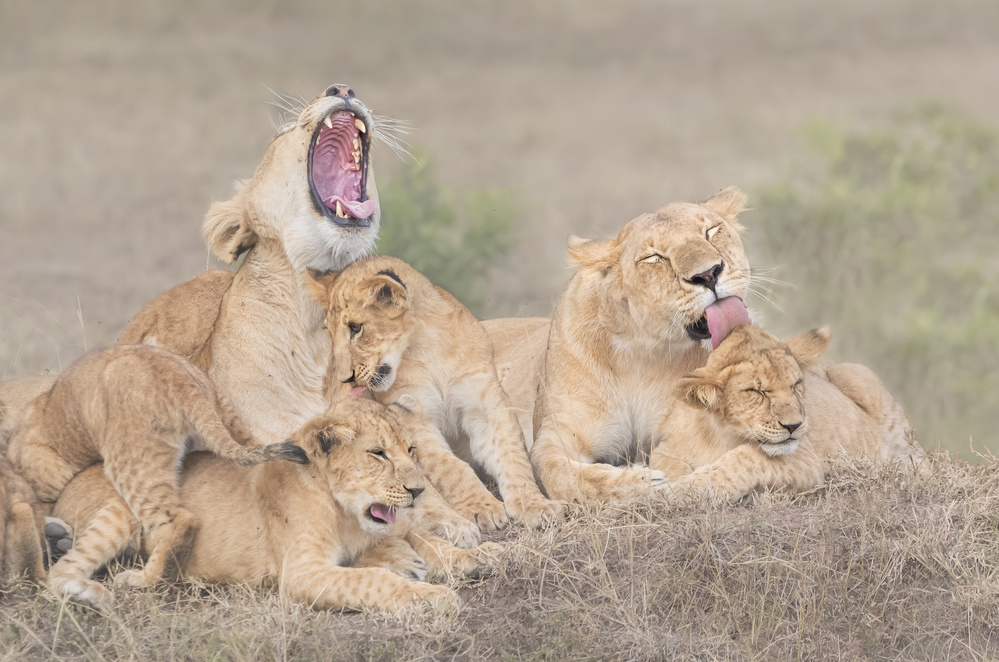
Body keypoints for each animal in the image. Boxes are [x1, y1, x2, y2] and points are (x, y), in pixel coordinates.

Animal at [48, 397, 498, 612]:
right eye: (378, 454)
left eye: (410, 450)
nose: (418, 490)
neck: (347, 515)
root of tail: (73, 480)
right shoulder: (301, 573)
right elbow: (374, 580)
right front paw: (432, 596)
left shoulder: (390, 526)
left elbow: (427, 540)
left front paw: (482, 556)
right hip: (122, 510)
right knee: (56, 576)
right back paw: (108, 587)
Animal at [308, 256, 564, 530]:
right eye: (330, 333)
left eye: (356, 328)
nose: (344, 377)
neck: (425, 346)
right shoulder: (412, 418)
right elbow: (451, 468)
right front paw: (482, 508)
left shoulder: (485, 403)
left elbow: (512, 455)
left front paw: (536, 506)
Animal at [530, 186, 754, 502]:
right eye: (655, 257)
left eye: (711, 231)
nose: (709, 274)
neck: (643, 351)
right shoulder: (558, 431)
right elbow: (558, 473)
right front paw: (641, 482)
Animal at [649, 324, 926, 499]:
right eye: (756, 391)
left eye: (796, 385)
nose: (794, 426)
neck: (719, 435)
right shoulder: (667, 448)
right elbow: (665, 464)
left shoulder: (807, 461)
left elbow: (745, 458)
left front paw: (685, 490)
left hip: (862, 381)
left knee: (919, 461)